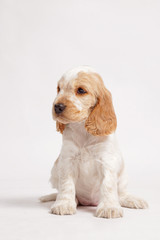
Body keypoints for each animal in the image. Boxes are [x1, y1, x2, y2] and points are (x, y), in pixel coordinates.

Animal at [40, 65, 148, 218]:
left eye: (81, 90)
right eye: (59, 89)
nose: (57, 106)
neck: (83, 129)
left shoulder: (106, 160)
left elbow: (108, 185)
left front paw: (109, 207)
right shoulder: (67, 159)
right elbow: (66, 185)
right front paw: (64, 204)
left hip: (123, 176)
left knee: (121, 194)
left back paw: (132, 200)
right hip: (54, 171)